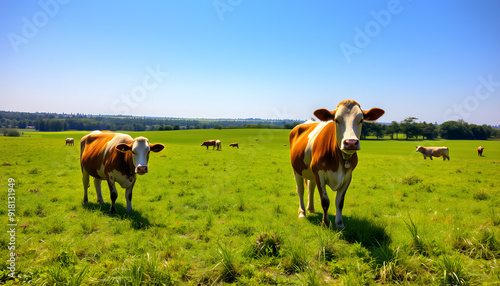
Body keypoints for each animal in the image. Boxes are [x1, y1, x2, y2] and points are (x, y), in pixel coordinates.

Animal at [288, 99, 384, 228]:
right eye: (336, 120)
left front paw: (339, 224)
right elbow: (325, 201)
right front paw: (325, 223)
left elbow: (339, 202)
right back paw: (302, 213)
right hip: (297, 170)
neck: (339, 159)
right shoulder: (319, 173)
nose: (351, 142)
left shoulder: (348, 176)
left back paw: (311, 209)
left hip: (310, 172)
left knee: (311, 187)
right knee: (301, 190)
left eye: (361, 120)